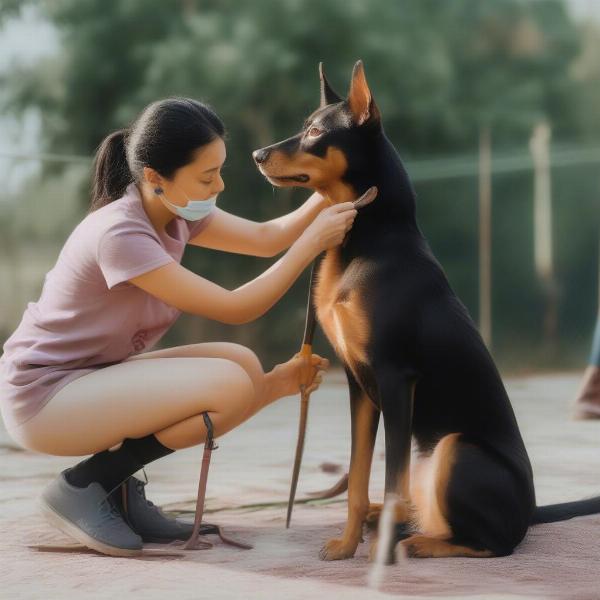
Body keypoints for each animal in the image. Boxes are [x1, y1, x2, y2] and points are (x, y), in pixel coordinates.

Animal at [252, 61, 600, 564]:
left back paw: (418, 541)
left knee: (495, 544)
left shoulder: (397, 379)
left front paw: (378, 553)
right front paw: (346, 545)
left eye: (316, 131)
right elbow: (357, 480)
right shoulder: (360, 384)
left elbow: (387, 479)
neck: (368, 236)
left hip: (453, 449)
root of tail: (531, 509)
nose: (257, 154)